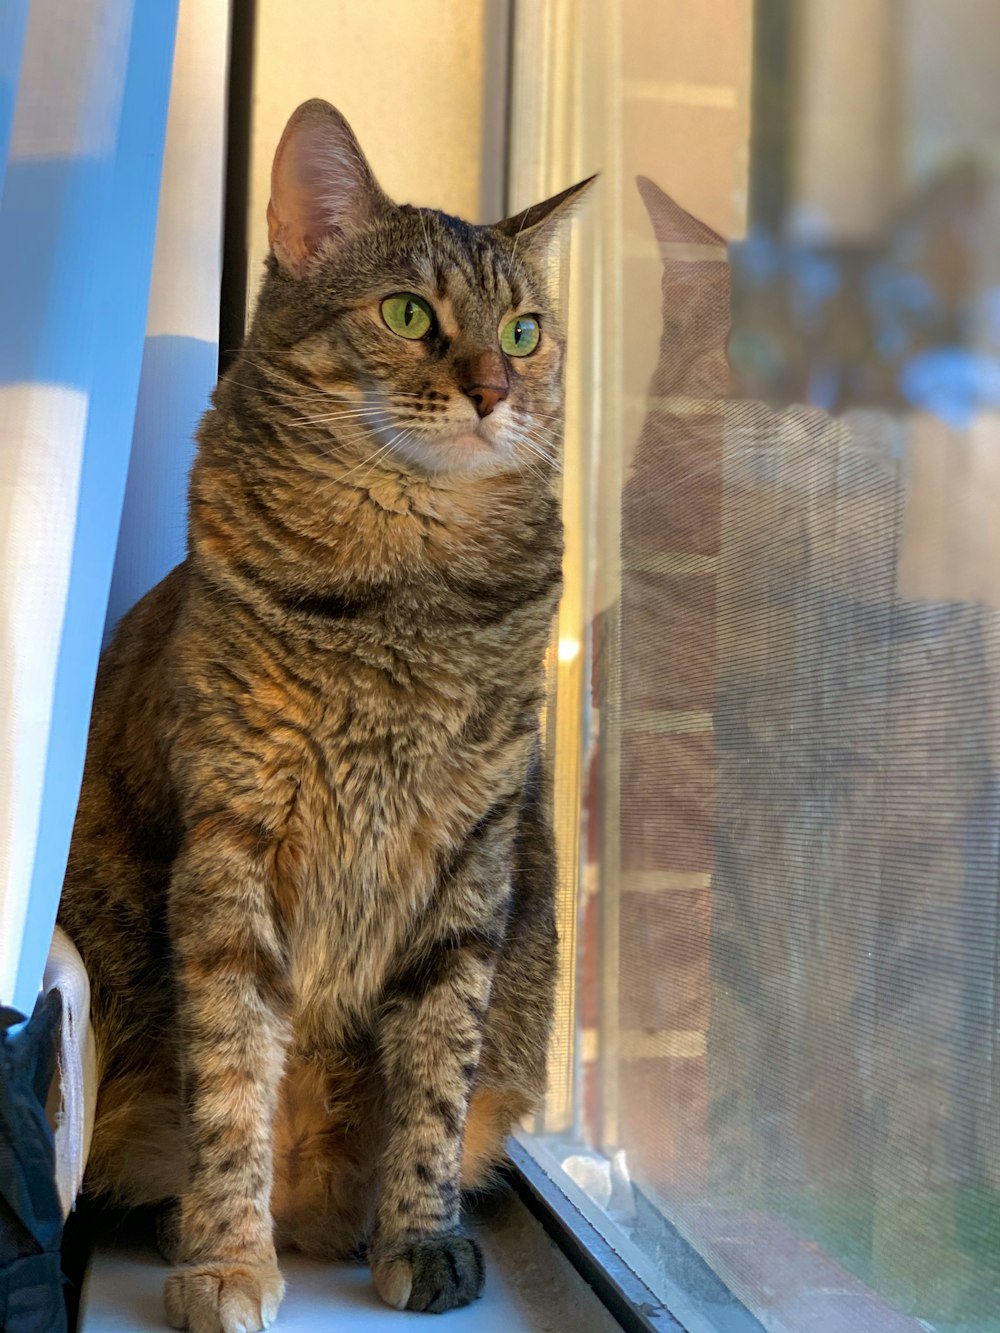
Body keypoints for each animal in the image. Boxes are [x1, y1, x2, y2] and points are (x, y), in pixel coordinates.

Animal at [58, 98, 592, 1327]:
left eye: (526, 333)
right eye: (407, 314)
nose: (495, 389)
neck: (404, 600)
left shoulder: (472, 861)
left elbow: (436, 1080)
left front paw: (419, 1232)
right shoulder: (232, 846)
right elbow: (232, 1073)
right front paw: (226, 1255)